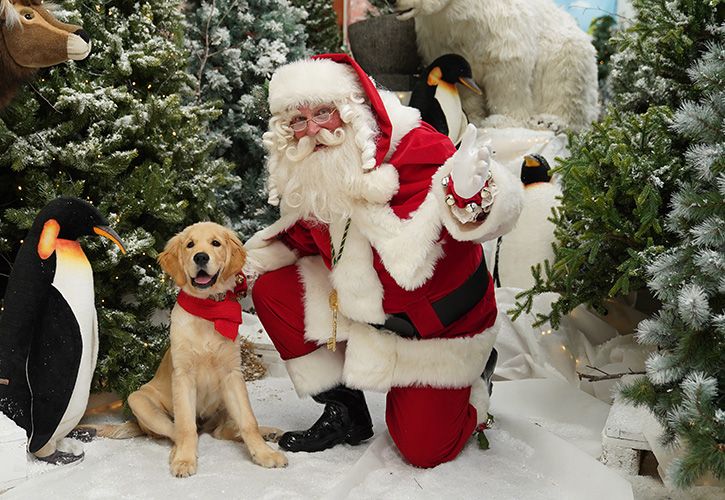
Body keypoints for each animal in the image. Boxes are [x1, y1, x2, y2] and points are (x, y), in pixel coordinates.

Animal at [121, 223, 286, 476]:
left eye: (215, 243)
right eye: (190, 244)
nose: (200, 257)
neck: (208, 309)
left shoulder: (232, 375)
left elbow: (248, 421)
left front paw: (265, 453)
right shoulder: (183, 376)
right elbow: (185, 426)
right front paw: (184, 460)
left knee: (223, 430)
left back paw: (269, 433)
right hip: (138, 399)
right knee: (177, 430)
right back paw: (176, 453)